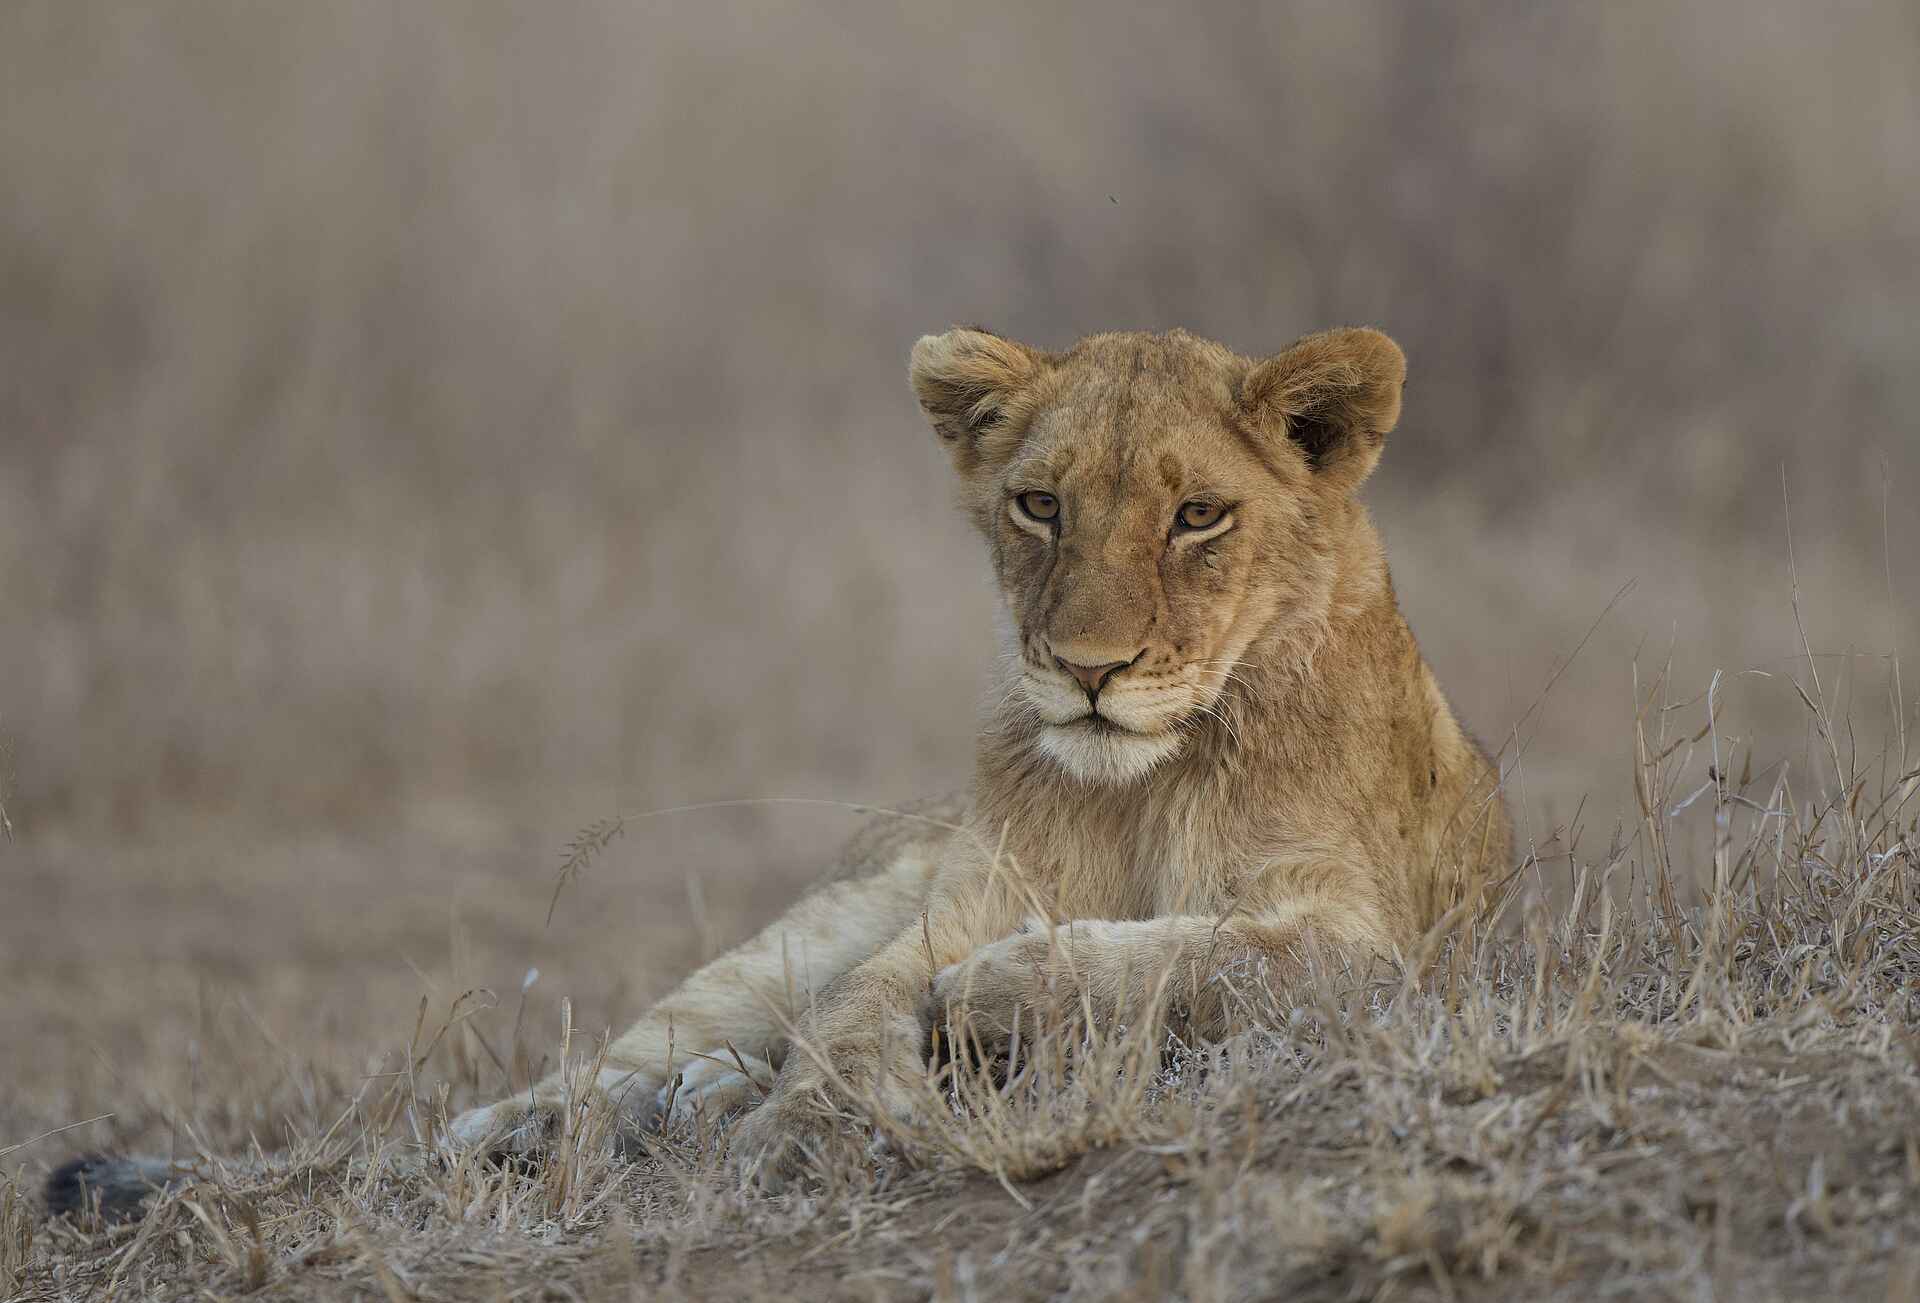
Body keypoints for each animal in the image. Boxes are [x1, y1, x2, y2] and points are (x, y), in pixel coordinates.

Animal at [47, 324, 1510, 1213]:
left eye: (1200, 513)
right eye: (1040, 504)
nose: (1088, 669)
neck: (1140, 780)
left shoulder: (1373, 945)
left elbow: (1204, 952)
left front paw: (994, 1001)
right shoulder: (969, 892)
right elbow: (860, 1006)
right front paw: (822, 1115)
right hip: (787, 934)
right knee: (611, 1063)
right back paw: (568, 1121)